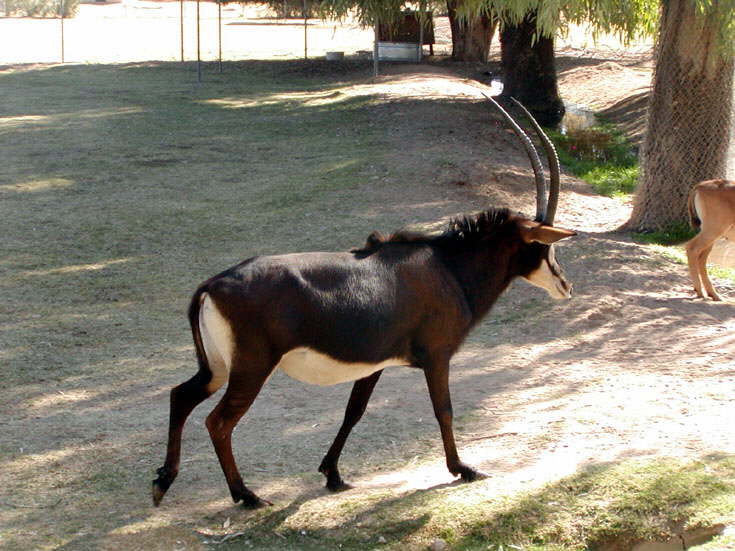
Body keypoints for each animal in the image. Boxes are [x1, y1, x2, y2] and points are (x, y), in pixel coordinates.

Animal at [152, 97, 577, 508]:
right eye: (544, 244)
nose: (565, 285)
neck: (448, 266)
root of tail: (213, 284)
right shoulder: (437, 356)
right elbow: (444, 409)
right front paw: (463, 468)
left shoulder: (375, 364)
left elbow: (353, 412)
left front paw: (333, 474)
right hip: (251, 368)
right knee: (219, 422)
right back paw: (246, 495)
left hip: (218, 368)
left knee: (181, 396)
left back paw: (163, 482)